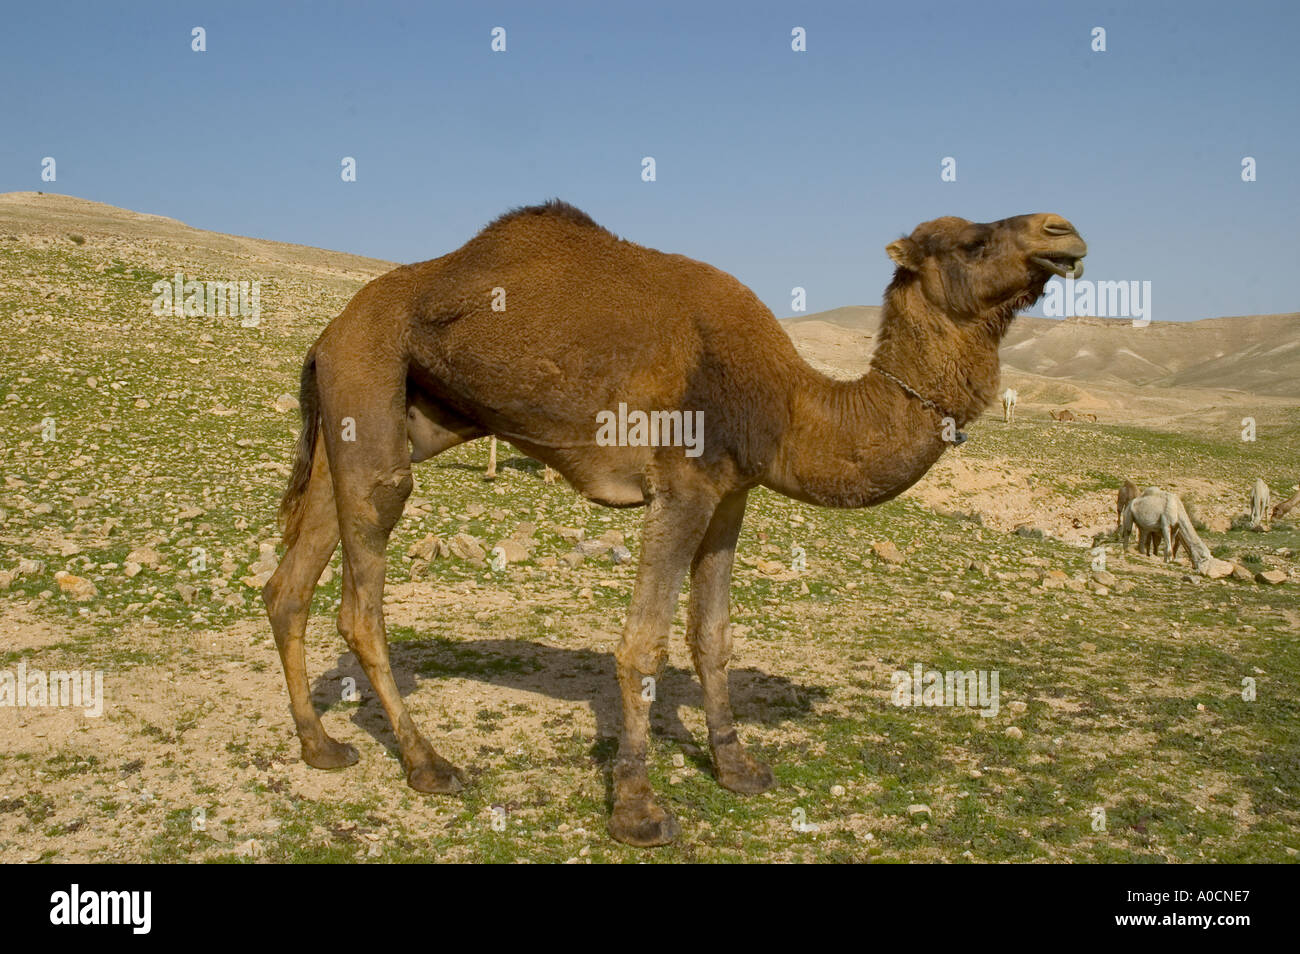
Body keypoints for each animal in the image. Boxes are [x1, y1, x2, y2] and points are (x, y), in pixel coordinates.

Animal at [261, 201, 1086, 847]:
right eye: (968, 241)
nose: (1063, 230)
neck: (785, 402)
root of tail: (324, 336)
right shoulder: (681, 487)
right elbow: (642, 644)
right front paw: (637, 807)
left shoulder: (730, 496)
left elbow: (711, 636)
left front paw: (737, 766)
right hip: (370, 382)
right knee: (360, 597)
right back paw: (428, 765)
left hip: (383, 417)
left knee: (290, 581)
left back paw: (320, 745)